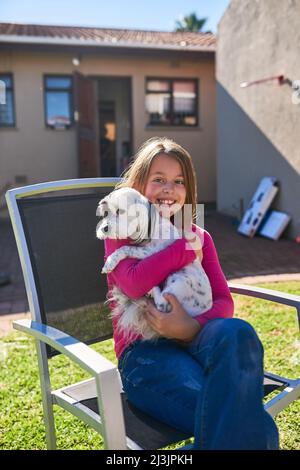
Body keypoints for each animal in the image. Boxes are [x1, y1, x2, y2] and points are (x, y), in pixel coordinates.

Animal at [95, 186, 211, 338]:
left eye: (120, 211)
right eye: (105, 213)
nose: (104, 229)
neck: (151, 225)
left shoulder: (151, 250)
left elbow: (126, 248)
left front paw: (109, 262)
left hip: (179, 279)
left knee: (162, 303)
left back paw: (152, 289)